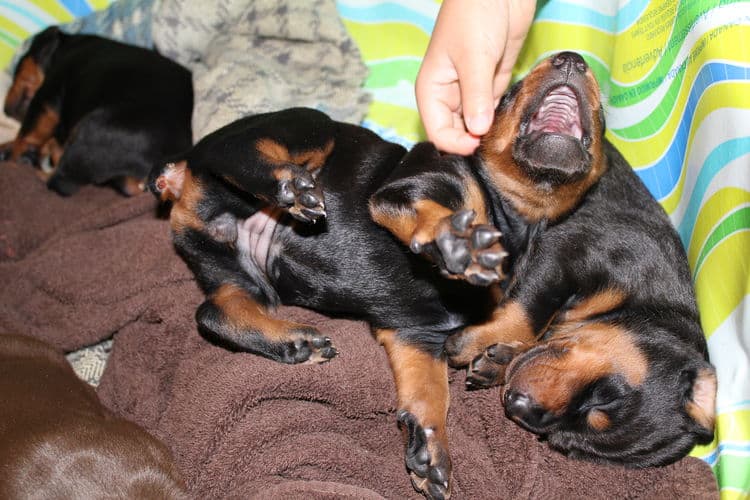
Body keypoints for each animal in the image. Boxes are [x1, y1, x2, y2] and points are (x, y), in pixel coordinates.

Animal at [1, 25, 194, 195]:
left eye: (17, 68)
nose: (6, 109)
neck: (66, 46)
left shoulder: (48, 95)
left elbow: (26, 135)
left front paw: (15, 157)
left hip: (90, 129)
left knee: (59, 181)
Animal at [151, 52, 716, 498]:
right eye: (506, 94)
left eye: (599, 119)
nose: (572, 59)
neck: (517, 215)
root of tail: (178, 175)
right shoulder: (415, 190)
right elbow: (453, 222)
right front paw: (458, 244)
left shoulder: (412, 334)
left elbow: (429, 392)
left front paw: (429, 446)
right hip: (302, 130)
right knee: (243, 153)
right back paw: (288, 185)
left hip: (234, 266)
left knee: (214, 309)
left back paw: (293, 342)